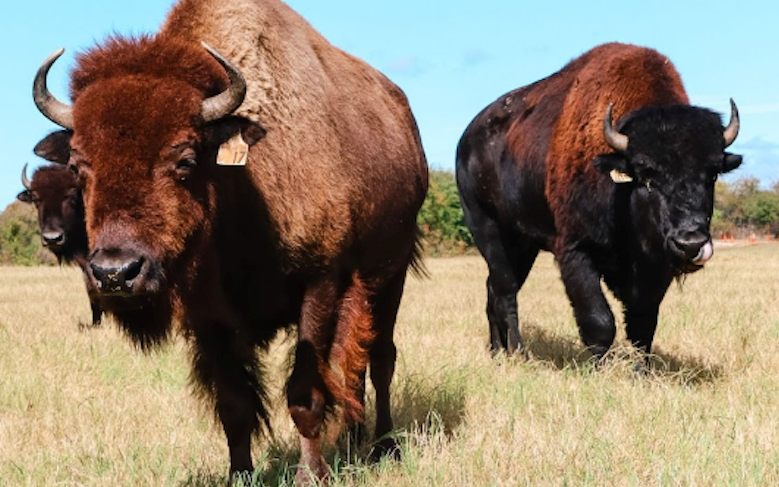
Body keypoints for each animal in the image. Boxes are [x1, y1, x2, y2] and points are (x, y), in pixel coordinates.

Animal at [32, 0, 427, 483]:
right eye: (78, 166)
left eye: (184, 159)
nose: (115, 273)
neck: (244, 183)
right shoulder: (209, 317)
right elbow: (234, 405)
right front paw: (240, 475)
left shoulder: (320, 284)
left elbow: (305, 394)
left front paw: (310, 474)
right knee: (353, 370)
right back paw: (352, 440)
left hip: (390, 274)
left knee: (380, 359)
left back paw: (384, 445)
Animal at [456, 42, 741, 361]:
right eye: (646, 176)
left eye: (713, 173)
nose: (690, 243)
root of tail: (466, 140)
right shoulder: (575, 250)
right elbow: (599, 321)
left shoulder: (653, 268)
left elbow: (643, 324)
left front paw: (640, 370)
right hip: (487, 229)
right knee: (506, 292)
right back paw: (519, 352)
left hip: (523, 243)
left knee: (494, 288)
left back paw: (497, 352)